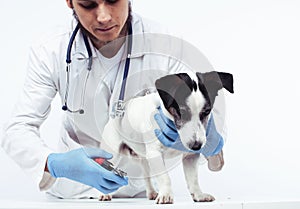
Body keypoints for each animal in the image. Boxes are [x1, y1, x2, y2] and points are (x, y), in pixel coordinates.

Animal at [101, 71, 234, 203]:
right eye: (182, 112)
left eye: (206, 112)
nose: (197, 146)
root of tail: (117, 114)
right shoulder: (155, 153)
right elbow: (164, 177)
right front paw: (165, 195)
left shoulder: (190, 157)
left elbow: (193, 179)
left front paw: (198, 195)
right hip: (112, 155)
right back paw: (104, 194)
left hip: (144, 159)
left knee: (146, 175)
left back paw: (152, 192)